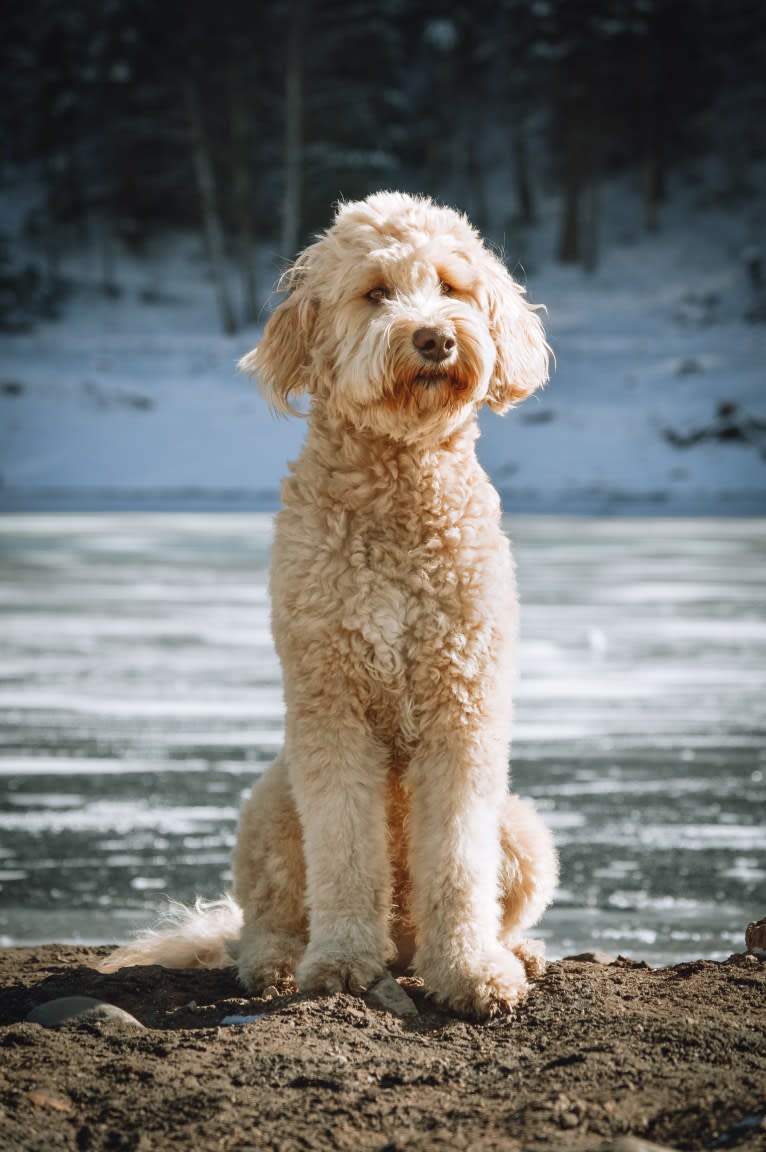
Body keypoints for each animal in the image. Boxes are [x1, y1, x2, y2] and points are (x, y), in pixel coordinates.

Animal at [100, 191, 555, 1018]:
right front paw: (342, 962)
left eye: (451, 286)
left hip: (522, 825)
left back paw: (518, 950)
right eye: (375, 291)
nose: (435, 338)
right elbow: (344, 847)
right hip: (269, 811)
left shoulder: (461, 706)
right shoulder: (333, 702)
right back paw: (281, 962)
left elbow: (458, 860)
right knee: (264, 920)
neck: (399, 483)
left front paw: (472, 970)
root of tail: (402, 941)